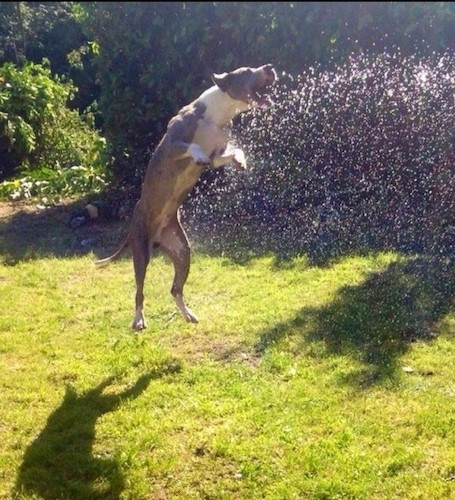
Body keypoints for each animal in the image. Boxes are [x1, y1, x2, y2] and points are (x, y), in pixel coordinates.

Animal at [94, 64, 276, 330]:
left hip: (182, 251)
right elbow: (191, 147)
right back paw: (139, 319)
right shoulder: (172, 144)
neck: (217, 115)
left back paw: (188, 314)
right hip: (141, 252)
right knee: (139, 291)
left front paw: (241, 160)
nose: (269, 67)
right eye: (246, 70)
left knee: (175, 289)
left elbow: (233, 151)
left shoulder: (217, 155)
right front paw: (197, 155)